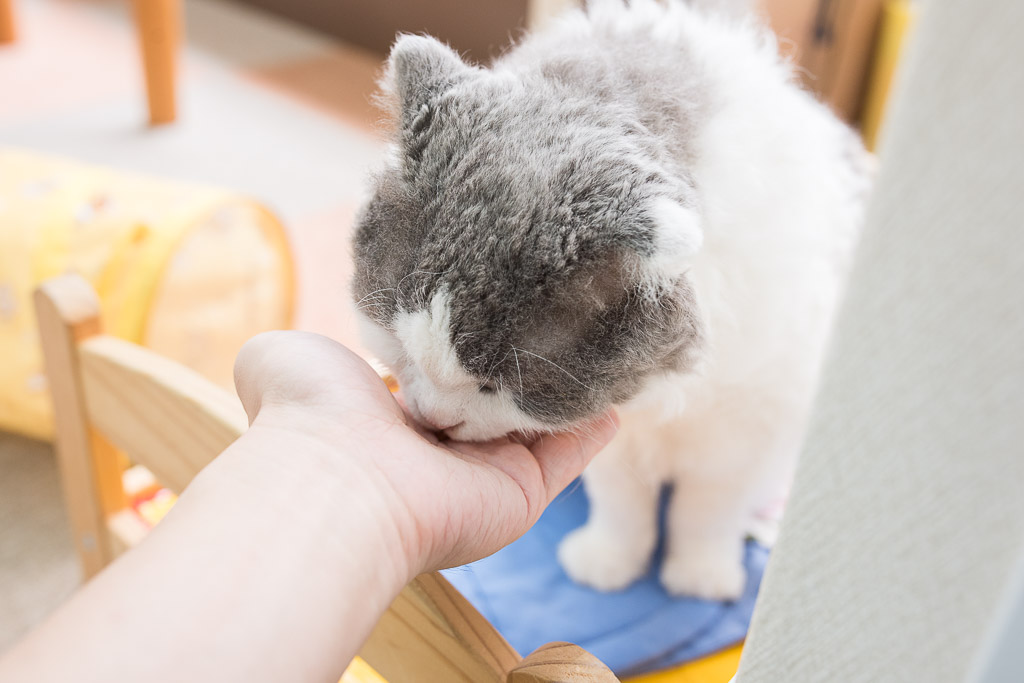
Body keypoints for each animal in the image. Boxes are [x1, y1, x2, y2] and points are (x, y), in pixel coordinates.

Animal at [352, 0, 872, 598]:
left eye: (492, 386)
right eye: (401, 348)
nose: (435, 420)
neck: (671, 393)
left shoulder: (743, 428)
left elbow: (706, 514)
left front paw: (700, 579)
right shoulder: (621, 440)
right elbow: (624, 505)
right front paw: (609, 565)